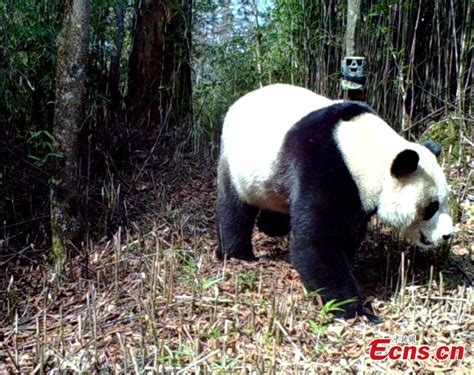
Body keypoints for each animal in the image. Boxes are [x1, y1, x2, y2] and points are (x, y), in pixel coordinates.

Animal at [217, 83, 454, 322]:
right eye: (431, 207)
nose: (447, 234)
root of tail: (238, 102)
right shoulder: (323, 163)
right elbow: (318, 242)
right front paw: (355, 310)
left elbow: (348, 233)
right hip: (238, 164)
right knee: (234, 209)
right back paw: (236, 253)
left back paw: (271, 225)